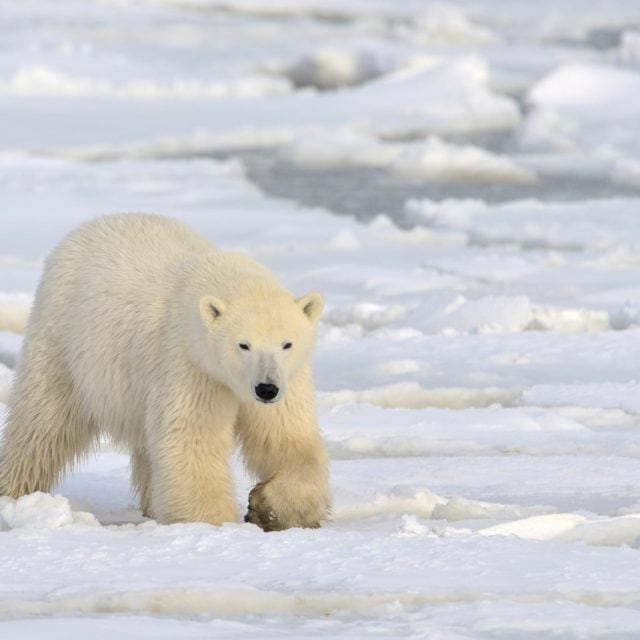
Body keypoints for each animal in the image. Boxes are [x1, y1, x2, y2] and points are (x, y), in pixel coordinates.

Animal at [0, 213, 330, 531]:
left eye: (287, 343)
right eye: (243, 345)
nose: (266, 389)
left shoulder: (288, 379)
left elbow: (287, 439)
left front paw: (266, 508)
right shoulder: (190, 365)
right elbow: (192, 441)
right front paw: (215, 525)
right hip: (63, 340)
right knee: (42, 426)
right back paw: (15, 494)